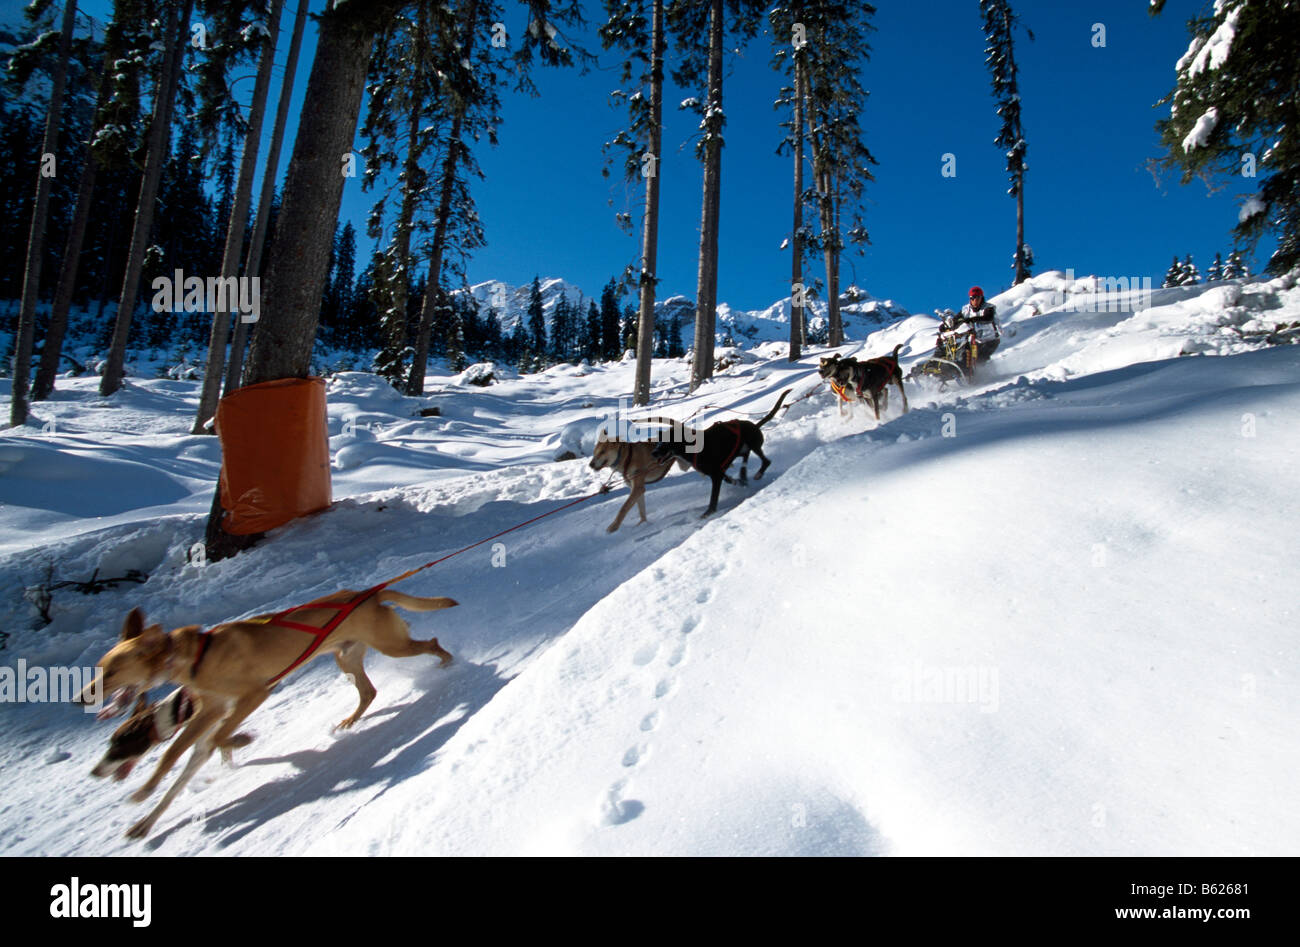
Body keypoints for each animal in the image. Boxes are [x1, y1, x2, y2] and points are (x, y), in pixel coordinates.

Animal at [73, 587, 457, 837]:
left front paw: (240, 739)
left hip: (392, 647)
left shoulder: (254, 695)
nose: (79, 698)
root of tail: (369, 594)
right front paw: (145, 811)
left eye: (111, 672)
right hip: (346, 658)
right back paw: (351, 720)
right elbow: (172, 757)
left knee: (431, 645)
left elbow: (217, 737)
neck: (194, 658)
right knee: (368, 691)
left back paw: (447, 662)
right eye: (100, 668)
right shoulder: (208, 713)